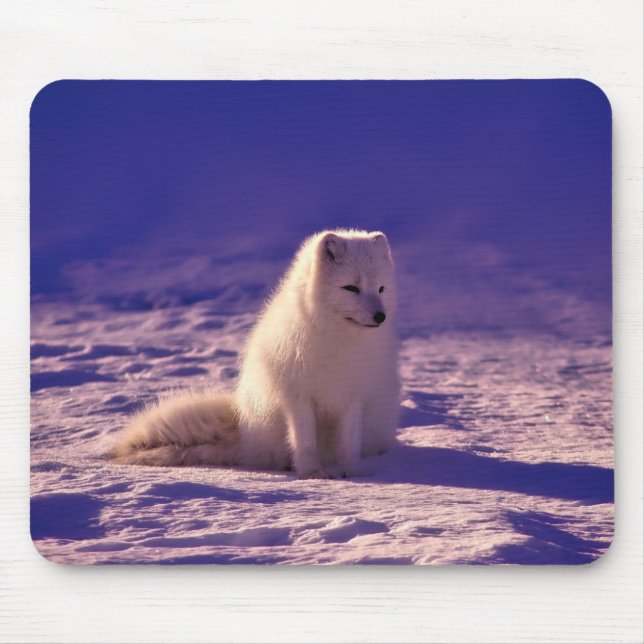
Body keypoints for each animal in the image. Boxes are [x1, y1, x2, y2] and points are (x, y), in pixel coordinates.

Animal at [110, 229, 400, 478]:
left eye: (381, 289)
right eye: (351, 288)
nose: (380, 316)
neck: (339, 341)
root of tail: (243, 432)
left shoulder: (354, 395)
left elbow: (349, 443)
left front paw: (351, 472)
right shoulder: (297, 396)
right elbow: (304, 440)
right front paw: (312, 473)